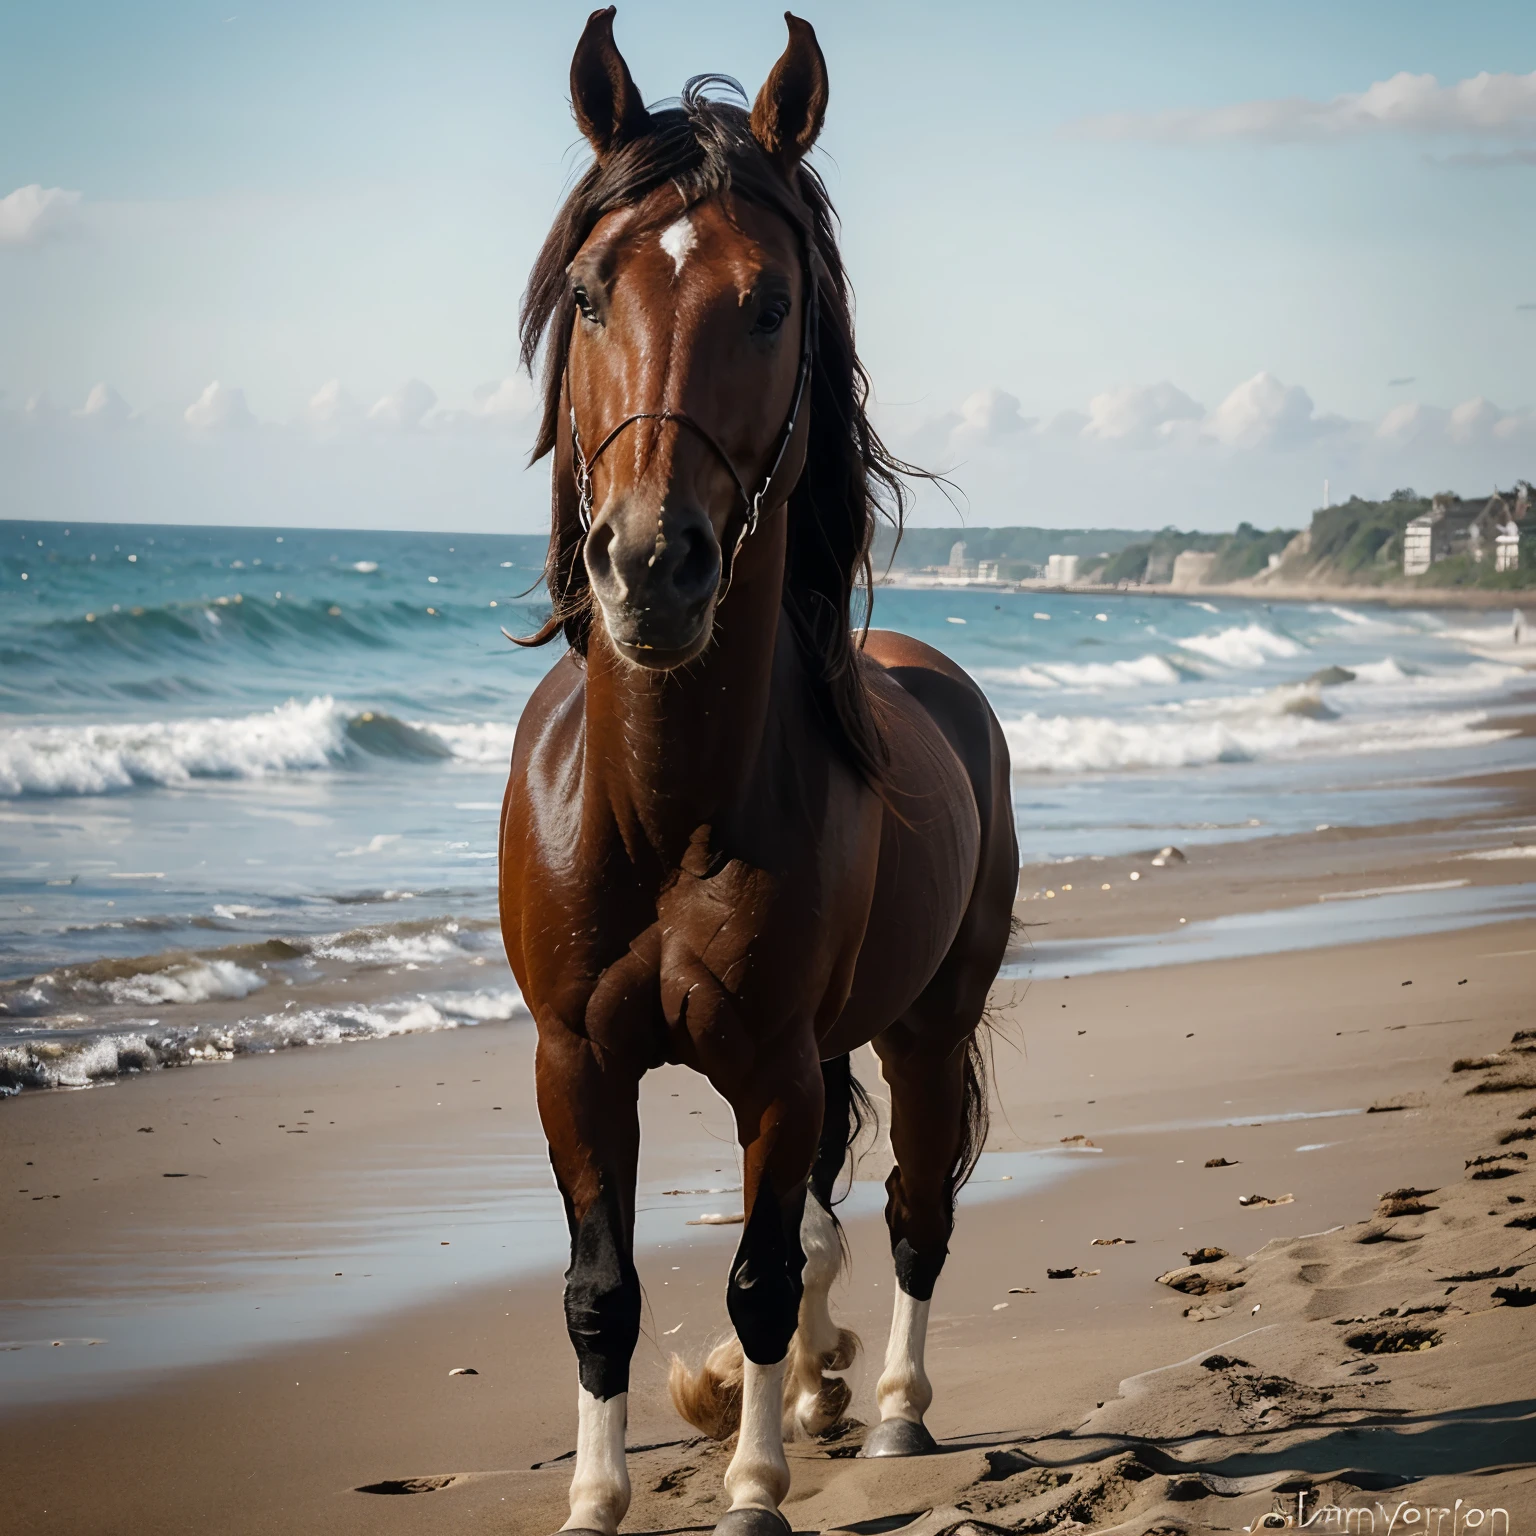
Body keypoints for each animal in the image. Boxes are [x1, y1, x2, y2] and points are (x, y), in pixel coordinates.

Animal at [497, 14, 1013, 1536]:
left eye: (773, 303)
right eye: (590, 293)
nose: (650, 568)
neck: (666, 808)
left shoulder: (776, 1067)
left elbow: (765, 1274)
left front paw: (755, 1483)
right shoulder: (573, 1064)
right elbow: (601, 1293)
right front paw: (599, 1497)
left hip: (927, 1022)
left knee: (911, 1210)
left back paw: (890, 1408)